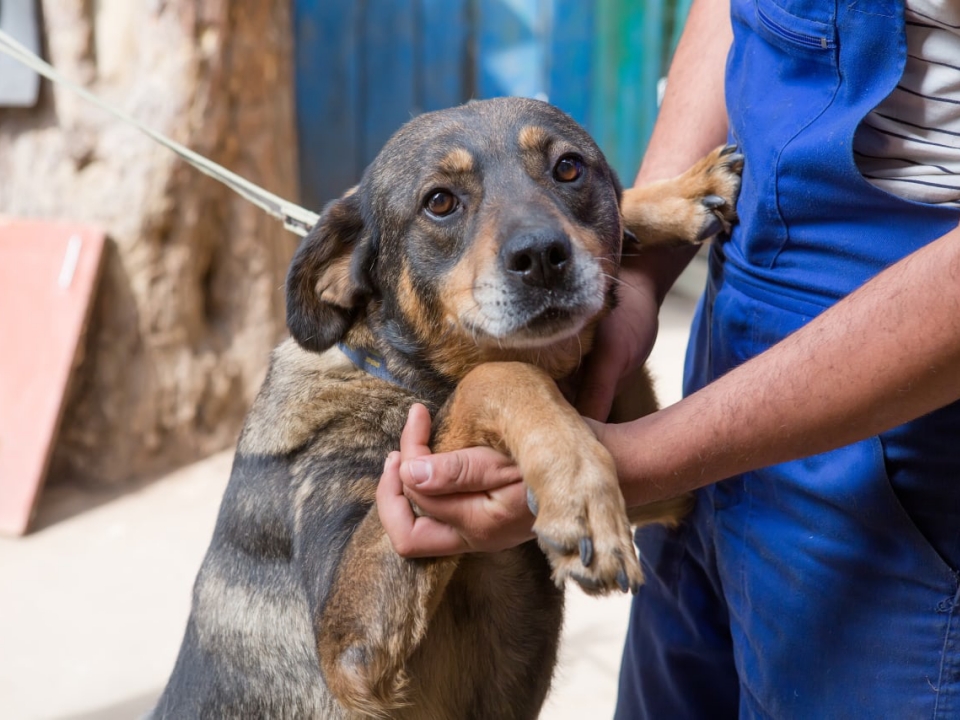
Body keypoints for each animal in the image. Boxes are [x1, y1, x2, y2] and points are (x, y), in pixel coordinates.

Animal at [154, 97, 744, 720]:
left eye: (568, 168)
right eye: (439, 202)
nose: (542, 257)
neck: (404, 376)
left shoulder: (665, 485)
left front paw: (675, 196)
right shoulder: (351, 654)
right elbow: (501, 375)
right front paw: (577, 493)